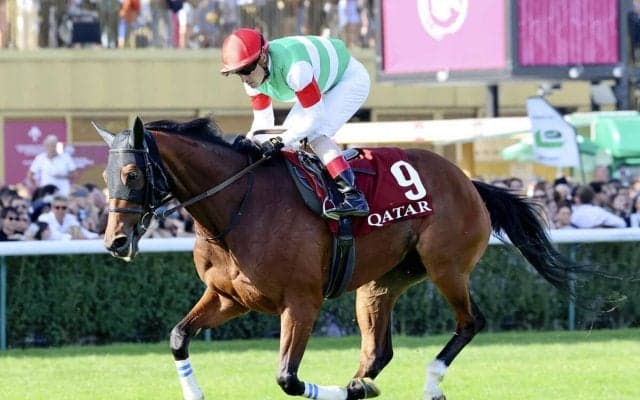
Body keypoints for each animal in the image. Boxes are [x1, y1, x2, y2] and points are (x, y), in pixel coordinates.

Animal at [95, 116, 585, 400]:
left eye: (131, 174)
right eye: (103, 176)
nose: (115, 241)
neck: (239, 206)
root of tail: (470, 181)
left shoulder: (301, 302)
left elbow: (288, 378)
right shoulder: (228, 297)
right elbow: (179, 336)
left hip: (446, 267)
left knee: (470, 322)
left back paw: (428, 384)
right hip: (380, 283)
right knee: (378, 350)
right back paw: (365, 381)